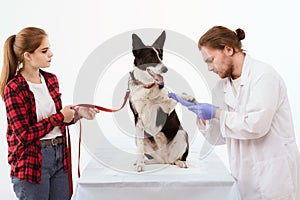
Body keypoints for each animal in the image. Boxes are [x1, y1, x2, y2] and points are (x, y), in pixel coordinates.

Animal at [127, 30, 191, 172]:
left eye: (161, 56)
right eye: (151, 58)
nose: (165, 69)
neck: (147, 87)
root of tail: (164, 158)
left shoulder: (166, 108)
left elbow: (174, 95)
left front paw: (188, 97)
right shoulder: (139, 119)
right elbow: (140, 149)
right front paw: (140, 164)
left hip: (182, 133)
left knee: (177, 159)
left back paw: (181, 162)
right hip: (138, 138)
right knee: (153, 158)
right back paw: (143, 162)